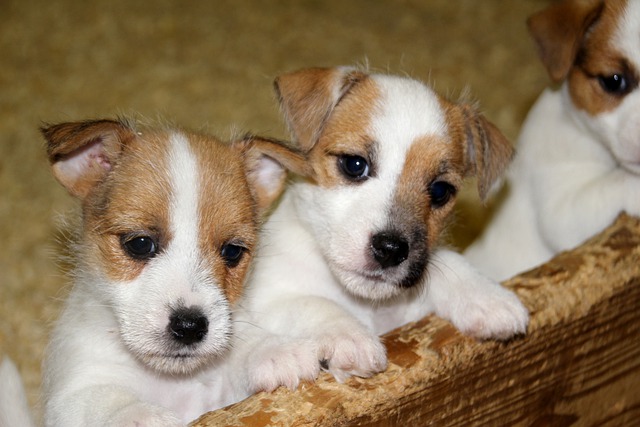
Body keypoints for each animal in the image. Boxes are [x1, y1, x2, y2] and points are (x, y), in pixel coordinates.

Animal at [0, 118, 304, 427]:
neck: (172, 381)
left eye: (232, 251)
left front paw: (269, 350)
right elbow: (105, 400)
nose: (189, 326)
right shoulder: (74, 395)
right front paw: (139, 414)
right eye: (140, 243)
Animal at [231, 67, 528, 394]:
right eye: (354, 164)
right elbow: (314, 303)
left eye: (440, 191)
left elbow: (447, 262)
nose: (390, 250)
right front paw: (350, 336)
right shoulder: (269, 303)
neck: (370, 305)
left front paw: (484, 295)